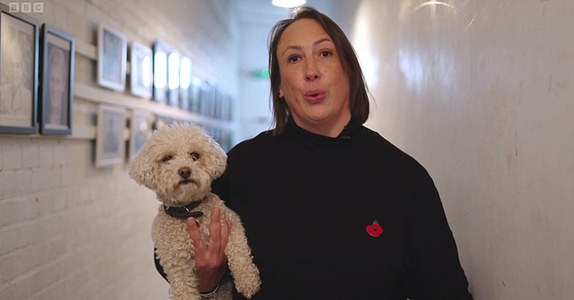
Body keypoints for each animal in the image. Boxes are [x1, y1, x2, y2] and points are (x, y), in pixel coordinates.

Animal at [130, 123, 260, 298]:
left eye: (195, 155)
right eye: (167, 158)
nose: (185, 171)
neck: (188, 210)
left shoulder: (231, 223)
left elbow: (239, 253)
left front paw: (248, 281)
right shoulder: (176, 263)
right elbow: (184, 290)